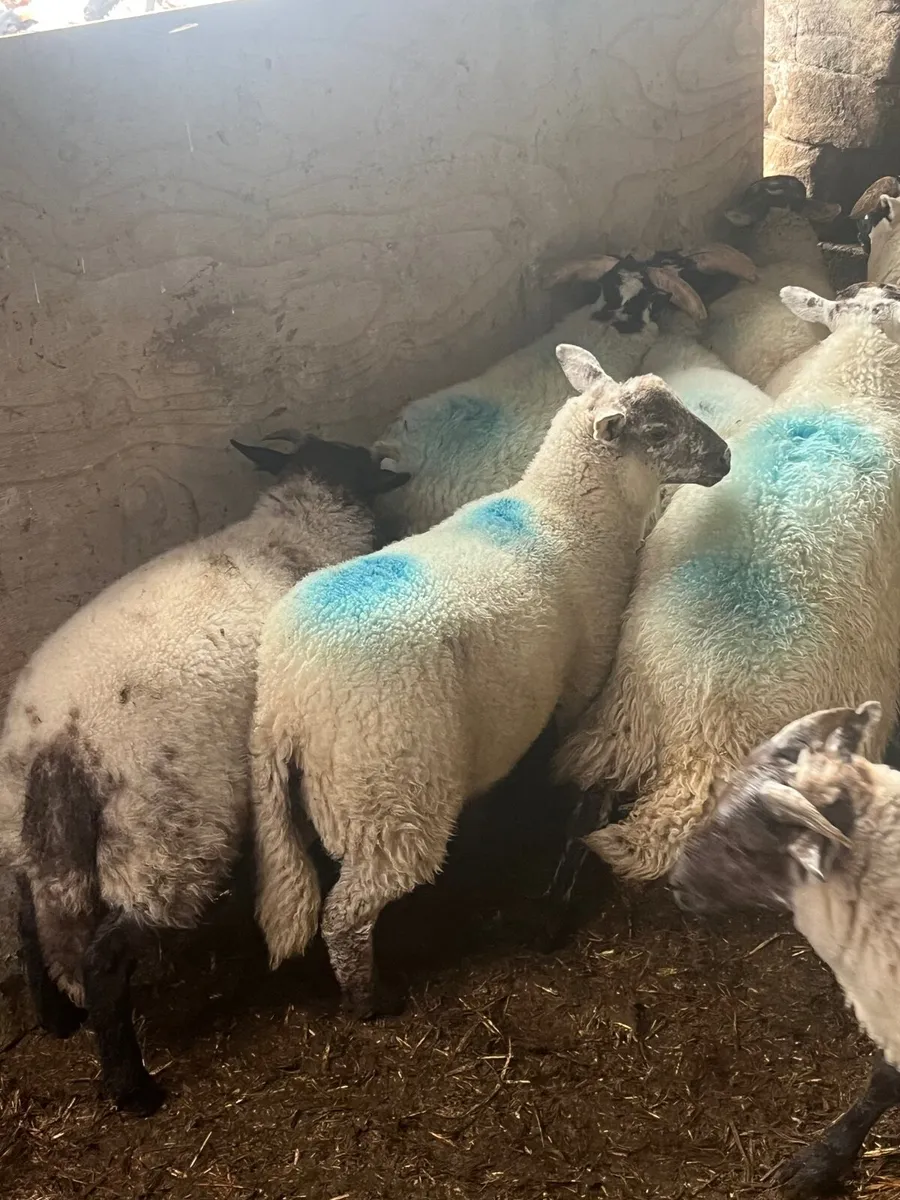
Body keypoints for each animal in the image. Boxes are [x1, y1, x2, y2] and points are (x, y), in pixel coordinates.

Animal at [0, 435, 409, 1116]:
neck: (294, 537)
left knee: (30, 921)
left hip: (28, 835)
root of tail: (60, 740)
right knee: (103, 959)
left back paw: (58, 1022)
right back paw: (135, 1090)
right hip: (165, 835)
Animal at [250, 344, 731, 1018]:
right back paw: (371, 1002)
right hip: (391, 797)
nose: (725, 458)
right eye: (659, 432)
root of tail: (287, 701)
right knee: (346, 916)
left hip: (311, 799)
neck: (567, 516)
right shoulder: (584, 671)